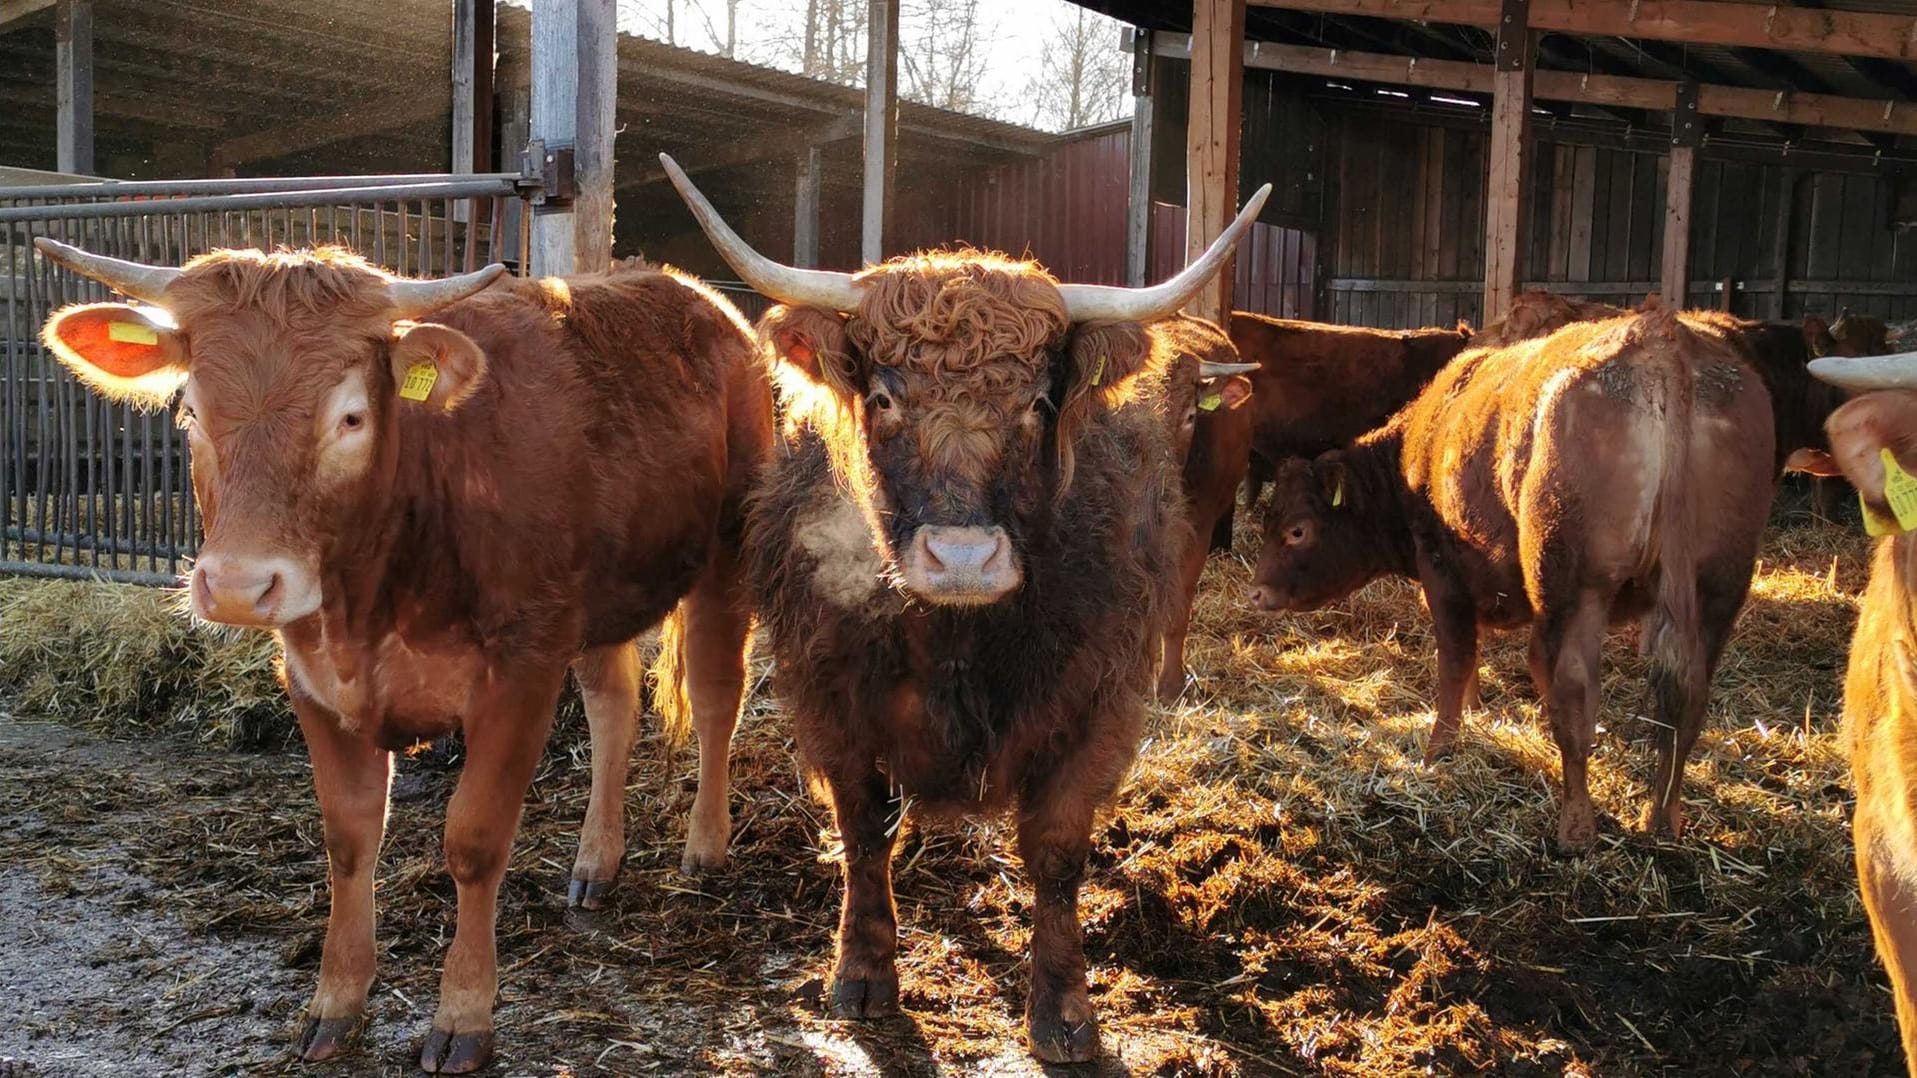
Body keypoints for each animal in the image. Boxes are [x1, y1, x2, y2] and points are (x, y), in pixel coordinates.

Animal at [1249, 306, 1771, 851]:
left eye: (1297, 530)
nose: (1257, 591)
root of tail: (1661, 338)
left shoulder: (1443, 575)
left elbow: (1457, 659)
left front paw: (1439, 749)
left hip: (1574, 582)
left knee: (1575, 688)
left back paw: (1576, 826)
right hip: (1718, 585)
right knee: (1687, 695)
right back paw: (1662, 820)